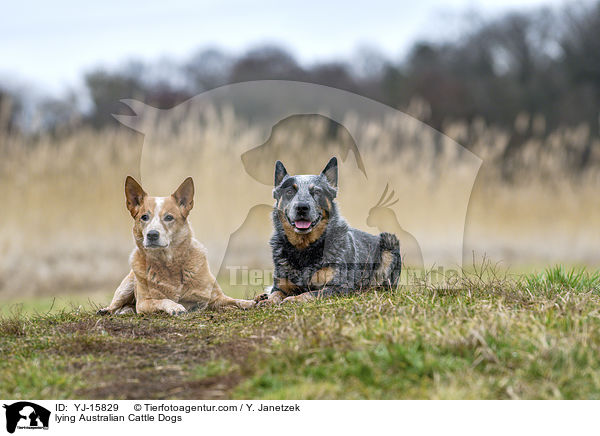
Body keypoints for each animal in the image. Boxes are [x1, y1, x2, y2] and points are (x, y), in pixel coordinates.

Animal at [255, 158, 400, 304]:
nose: (302, 207)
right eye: (289, 191)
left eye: (317, 192)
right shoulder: (281, 286)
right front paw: (267, 301)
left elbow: (310, 294)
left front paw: (293, 299)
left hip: (389, 242)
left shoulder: (339, 287)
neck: (304, 248)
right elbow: (276, 293)